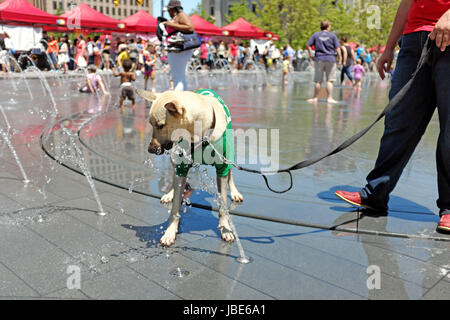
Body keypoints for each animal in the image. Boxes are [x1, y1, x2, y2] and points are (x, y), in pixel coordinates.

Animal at [136, 89, 243, 246]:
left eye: (161, 125)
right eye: (151, 124)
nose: (150, 149)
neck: (198, 135)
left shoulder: (222, 166)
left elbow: (223, 205)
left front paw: (225, 228)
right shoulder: (181, 166)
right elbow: (175, 207)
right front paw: (170, 231)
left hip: (229, 157)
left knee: (231, 175)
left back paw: (235, 192)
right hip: (174, 157)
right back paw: (170, 193)